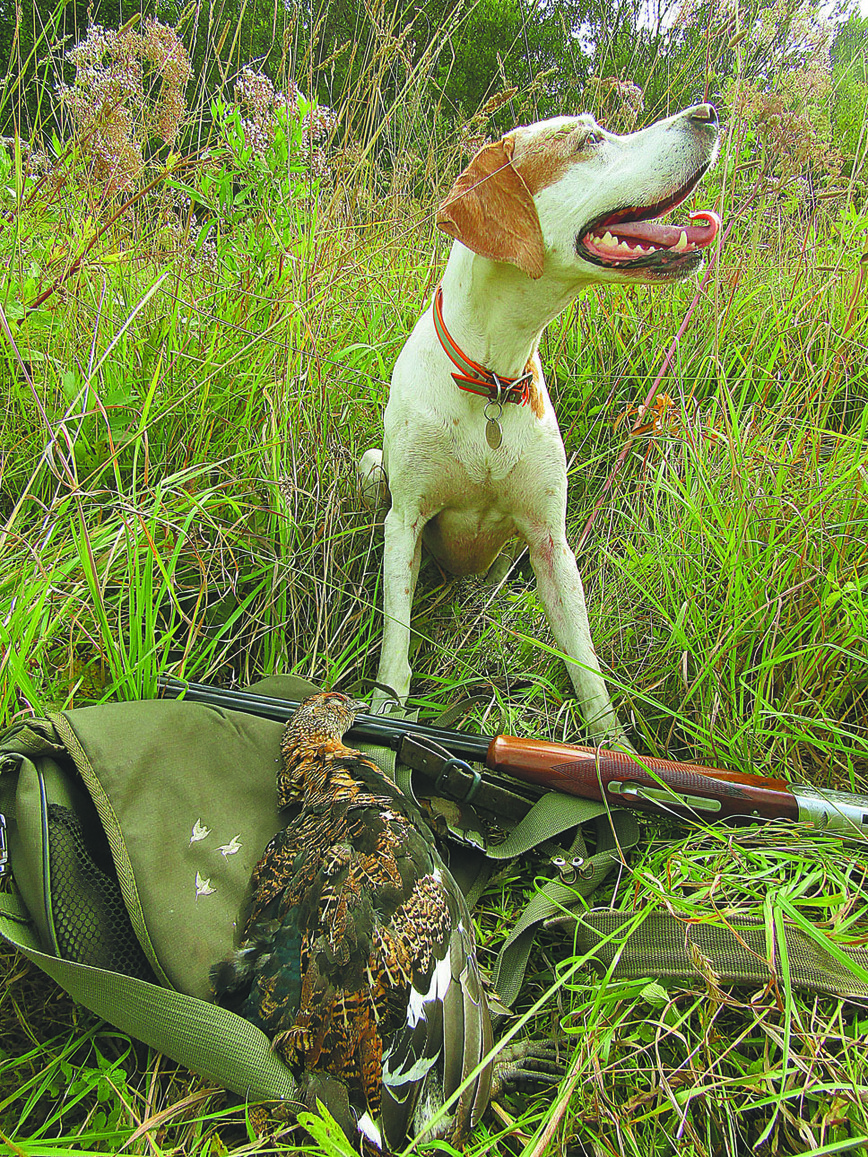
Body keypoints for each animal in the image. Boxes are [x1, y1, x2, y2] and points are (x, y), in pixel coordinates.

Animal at [361, 104, 722, 745]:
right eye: (589, 140)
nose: (708, 111)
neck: (493, 379)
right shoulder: (404, 522)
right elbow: (395, 657)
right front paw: (384, 723)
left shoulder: (552, 543)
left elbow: (588, 671)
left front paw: (615, 753)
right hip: (371, 470)